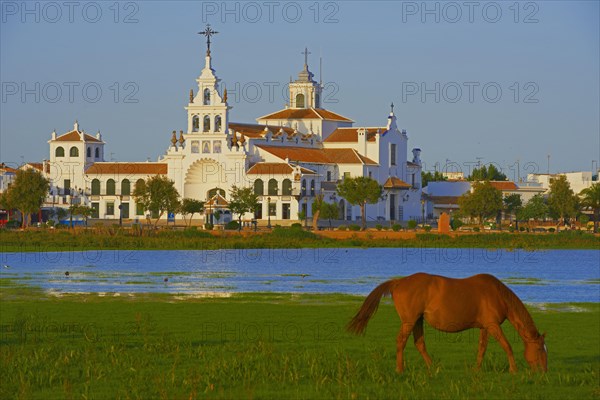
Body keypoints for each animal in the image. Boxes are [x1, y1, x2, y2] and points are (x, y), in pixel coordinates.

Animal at [346, 274, 548, 374]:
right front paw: (514, 370)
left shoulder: (485, 327)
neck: (497, 294)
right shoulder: (493, 325)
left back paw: (433, 367)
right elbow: (507, 346)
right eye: (539, 349)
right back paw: (399, 369)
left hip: (418, 321)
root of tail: (398, 282)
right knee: (401, 341)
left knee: (419, 343)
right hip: (409, 321)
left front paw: (476, 369)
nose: (543, 371)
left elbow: (482, 349)